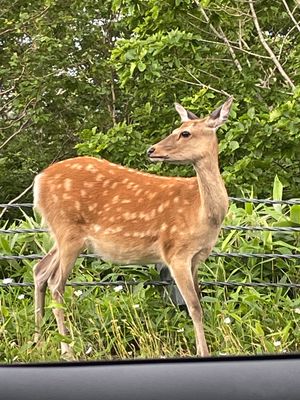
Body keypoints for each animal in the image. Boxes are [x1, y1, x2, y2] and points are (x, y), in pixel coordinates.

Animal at [33, 97, 232, 360]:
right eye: (176, 129)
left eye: (185, 133)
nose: (152, 150)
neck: (203, 214)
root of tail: (39, 181)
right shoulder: (175, 252)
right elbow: (194, 307)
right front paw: (203, 353)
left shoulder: (197, 257)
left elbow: (198, 302)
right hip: (67, 231)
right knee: (56, 283)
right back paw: (67, 350)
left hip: (64, 235)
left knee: (40, 270)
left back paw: (38, 342)